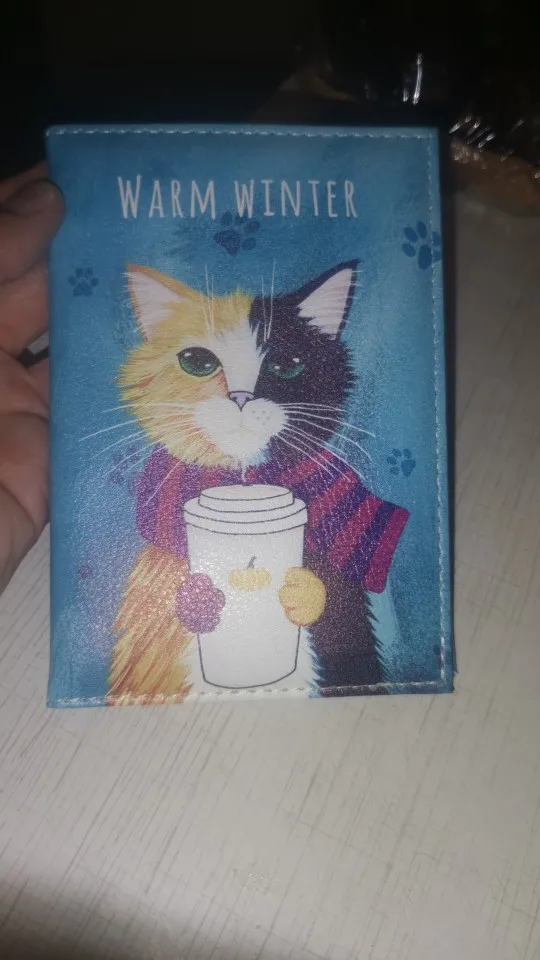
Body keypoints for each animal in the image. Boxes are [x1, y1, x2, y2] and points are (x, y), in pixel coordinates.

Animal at [108, 262, 409, 703]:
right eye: (197, 361)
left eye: (287, 364)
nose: (241, 398)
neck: (244, 482)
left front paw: (302, 590)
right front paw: (197, 598)